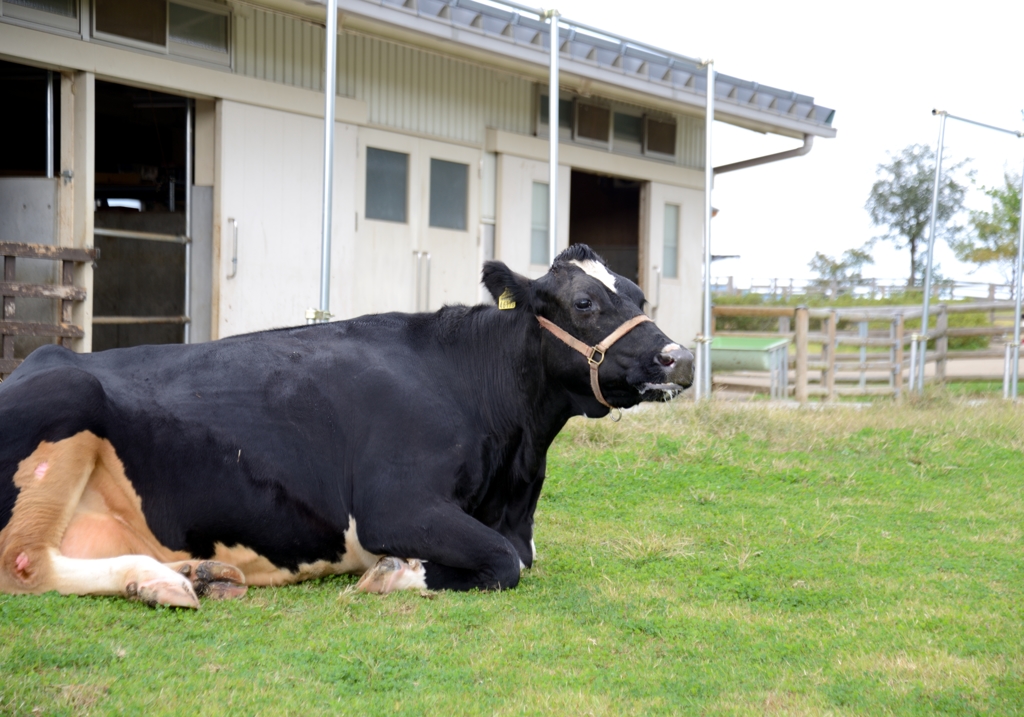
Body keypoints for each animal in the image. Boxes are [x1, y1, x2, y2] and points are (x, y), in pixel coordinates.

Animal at [0, 244, 696, 606]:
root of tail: (43, 355)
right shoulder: (394, 506)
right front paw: (398, 574)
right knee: (24, 563)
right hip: (63, 409)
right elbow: (505, 562)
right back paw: (159, 580)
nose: (679, 358)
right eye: (584, 303)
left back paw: (190, 574)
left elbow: (522, 554)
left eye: (639, 296)